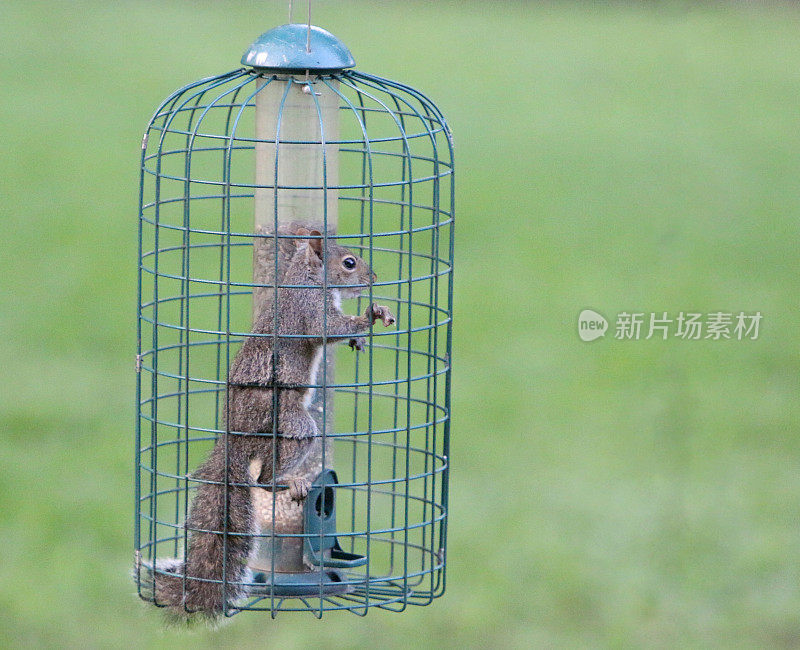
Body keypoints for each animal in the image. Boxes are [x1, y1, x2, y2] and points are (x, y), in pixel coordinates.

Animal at [145, 227, 396, 616]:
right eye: (349, 263)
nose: (374, 279)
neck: (306, 278)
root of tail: (233, 440)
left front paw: (362, 332)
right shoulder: (309, 309)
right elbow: (326, 329)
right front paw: (368, 316)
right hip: (291, 424)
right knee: (263, 479)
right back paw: (290, 482)